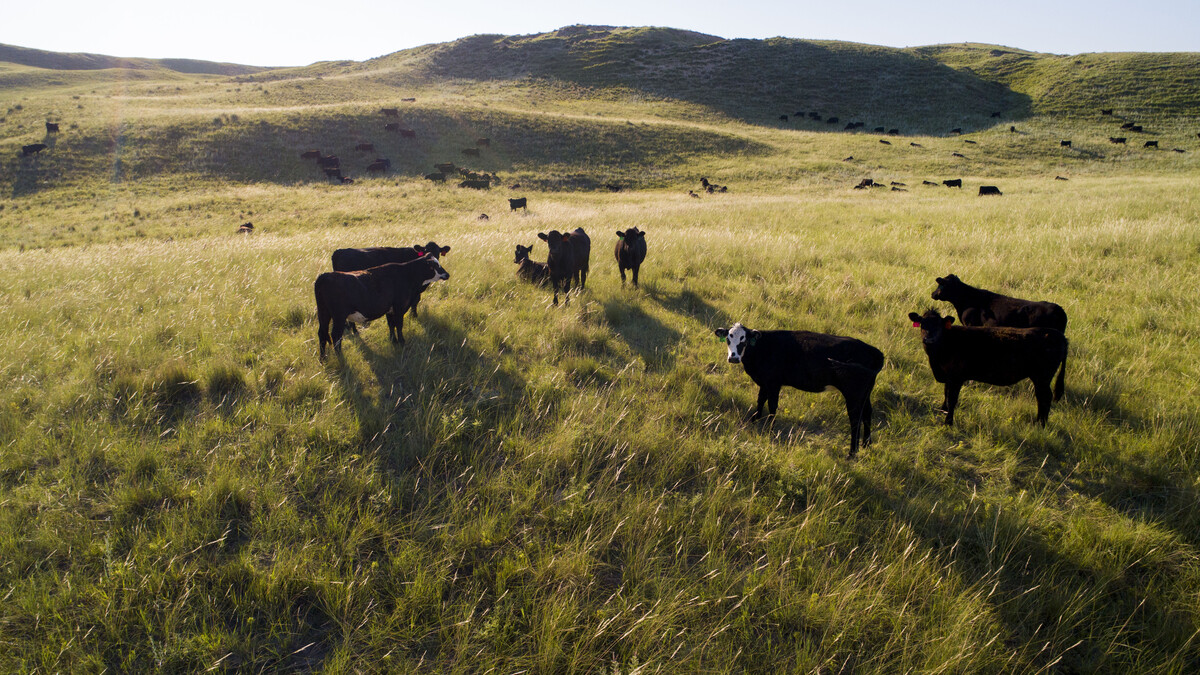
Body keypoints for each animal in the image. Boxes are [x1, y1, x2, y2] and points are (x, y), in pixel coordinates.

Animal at [314, 257, 450, 360]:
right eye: (435, 266)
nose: (447, 274)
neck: (407, 275)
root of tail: (325, 276)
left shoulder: (390, 310)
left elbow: (391, 325)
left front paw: (393, 340)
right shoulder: (399, 307)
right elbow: (399, 325)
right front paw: (402, 342)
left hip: (323, 313)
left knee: (322, 333)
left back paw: (323, 358)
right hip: (339, 317)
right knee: (336, 335)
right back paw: (340, 357)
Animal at [713, 323, 884, 458]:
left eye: (744, 340)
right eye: (728, 339)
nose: (733, 358)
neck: (763, 348)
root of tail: (874, 351)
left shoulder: (774, 383)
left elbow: (772, 406)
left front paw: (770, 429)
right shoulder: (764, 381)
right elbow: (761, 399)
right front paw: (754, 419)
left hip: (853, 393)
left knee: (855, 419)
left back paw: (852, 452)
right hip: (865, 392)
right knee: (867, 413)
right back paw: (866, 444)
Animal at [908, 309, 1067, 426]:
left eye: (939, 326)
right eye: (922, 324)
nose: (929, 339)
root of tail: (1059, 336)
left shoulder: (956, 377)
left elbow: (952, 399)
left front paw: (948, 422)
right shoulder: (948, 376)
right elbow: (946, 394)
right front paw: (943, 410)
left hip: (1042, 377)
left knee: (1045, 397)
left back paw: (1040, 424)